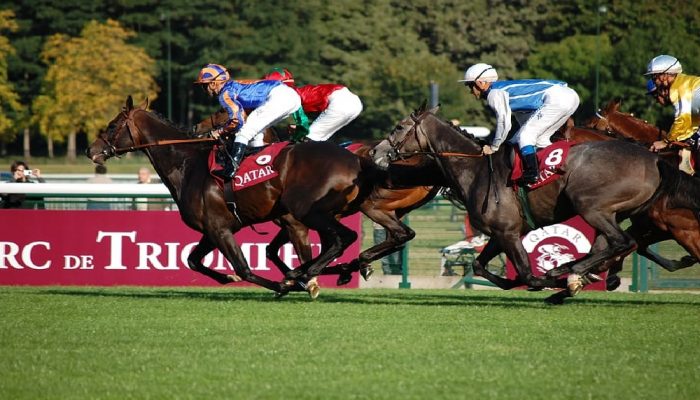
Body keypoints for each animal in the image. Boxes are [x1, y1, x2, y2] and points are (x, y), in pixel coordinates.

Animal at [88, 97, 382, 296]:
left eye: (112, 125)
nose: (91, 150)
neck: (188, 164)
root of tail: (357, 160)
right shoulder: (212, 229)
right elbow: (192, 260)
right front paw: (229, 279)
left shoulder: (223, 229)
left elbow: (244, 268)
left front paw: (288, 284)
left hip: (309, 211)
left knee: (343, 238)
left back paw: (308, 273)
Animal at [370, 106, 700, 300]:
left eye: (399, 127)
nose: (375, 152)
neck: (476, 169)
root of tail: (655, 159)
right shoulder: (502, 233)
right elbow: (478, 264)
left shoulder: (507, 232)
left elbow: (527, 273)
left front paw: (553, 280)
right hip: (620, 213)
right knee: (619, 245)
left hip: (592, 207)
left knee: (623, 242)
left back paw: (567, 272)